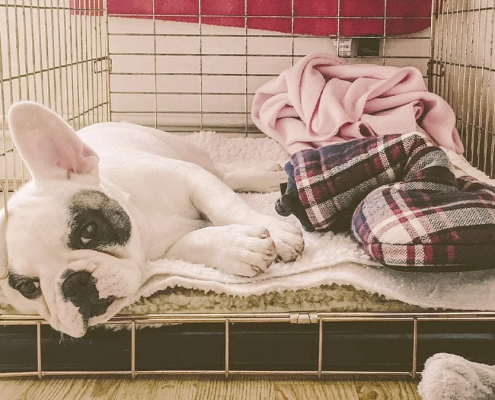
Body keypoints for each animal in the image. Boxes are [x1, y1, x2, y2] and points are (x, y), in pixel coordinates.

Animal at [0, 102, 304, 338]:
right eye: (27, 287)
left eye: (89, 229)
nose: (74, 283)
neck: (144, 224)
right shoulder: (167, 250)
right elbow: (194, 242)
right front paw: (238, 247)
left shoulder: (192, 177)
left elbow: (225, 204)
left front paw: (278, 234)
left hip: (190, 154)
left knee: (224, 175)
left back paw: (263, 176)